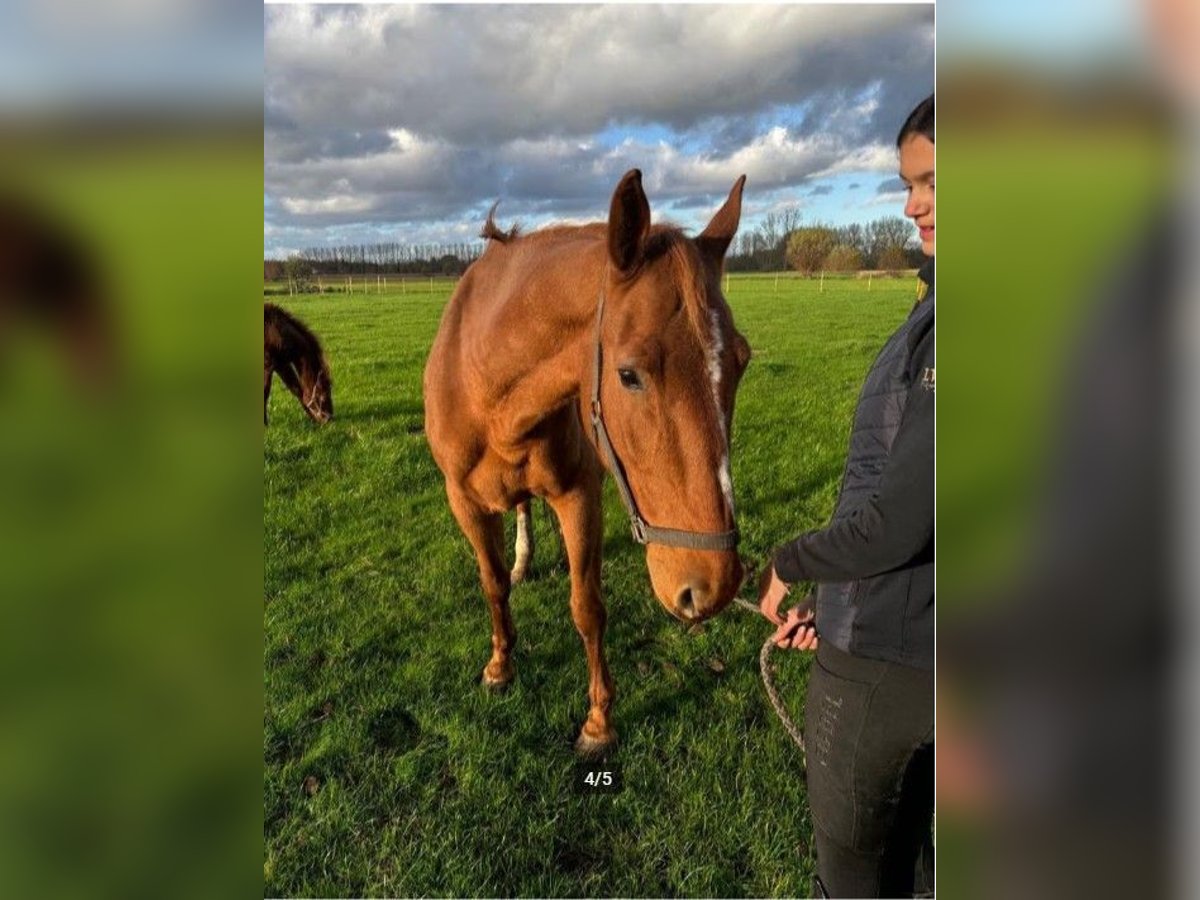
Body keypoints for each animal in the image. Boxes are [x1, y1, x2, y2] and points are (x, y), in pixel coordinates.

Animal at [424, 169, 748, 753]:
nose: (714, 586)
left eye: (742, 360)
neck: (488, 388)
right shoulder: (464, 502)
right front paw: (500, 666)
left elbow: (587, 606)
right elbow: (493, 583)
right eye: (628, 375)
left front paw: (599, 721)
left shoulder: (580, 495)